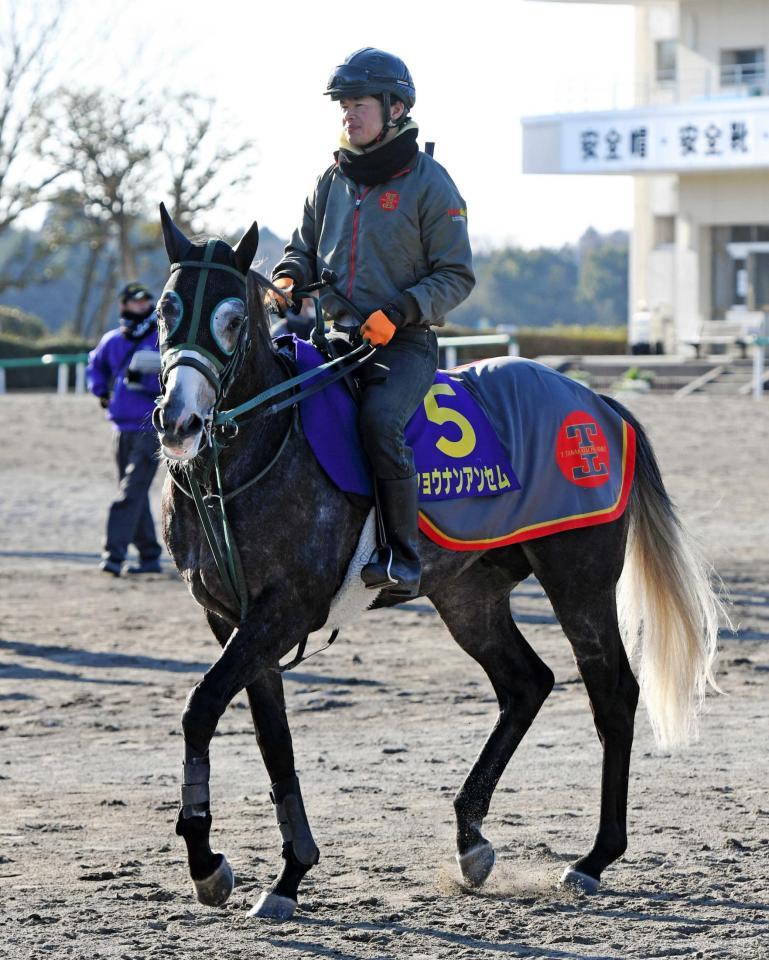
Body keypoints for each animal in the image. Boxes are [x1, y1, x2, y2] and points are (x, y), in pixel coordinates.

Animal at [154, 208, 720, 924]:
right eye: (167, 310)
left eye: (232, 319)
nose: (178, 420)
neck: (255, 451)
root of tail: (600, 406)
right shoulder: (232, 618)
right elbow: (271, 736)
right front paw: (288, 872)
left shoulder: (282, 611)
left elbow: (201, 708)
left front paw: (210, 863)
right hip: (468, 596)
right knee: (525, 684)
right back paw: (471, 838)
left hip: (579, 582)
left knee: (613, 694)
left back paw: (595, 858)